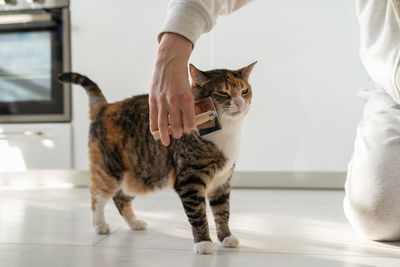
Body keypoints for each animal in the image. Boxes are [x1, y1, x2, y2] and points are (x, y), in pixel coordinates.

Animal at [57, 61, 256, 255]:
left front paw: (226, 237)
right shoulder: (189, 181)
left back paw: (134, 223)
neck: (226, 132)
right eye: (222, 92)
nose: (239, 103)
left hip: (140, 175)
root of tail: (105, 107)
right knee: (97, 195)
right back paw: (99, 224)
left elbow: (223, 211)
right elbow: (198, 214)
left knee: (121, 197)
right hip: (109, 170)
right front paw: (203, 242)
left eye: (244, 91)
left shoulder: (222, 181)